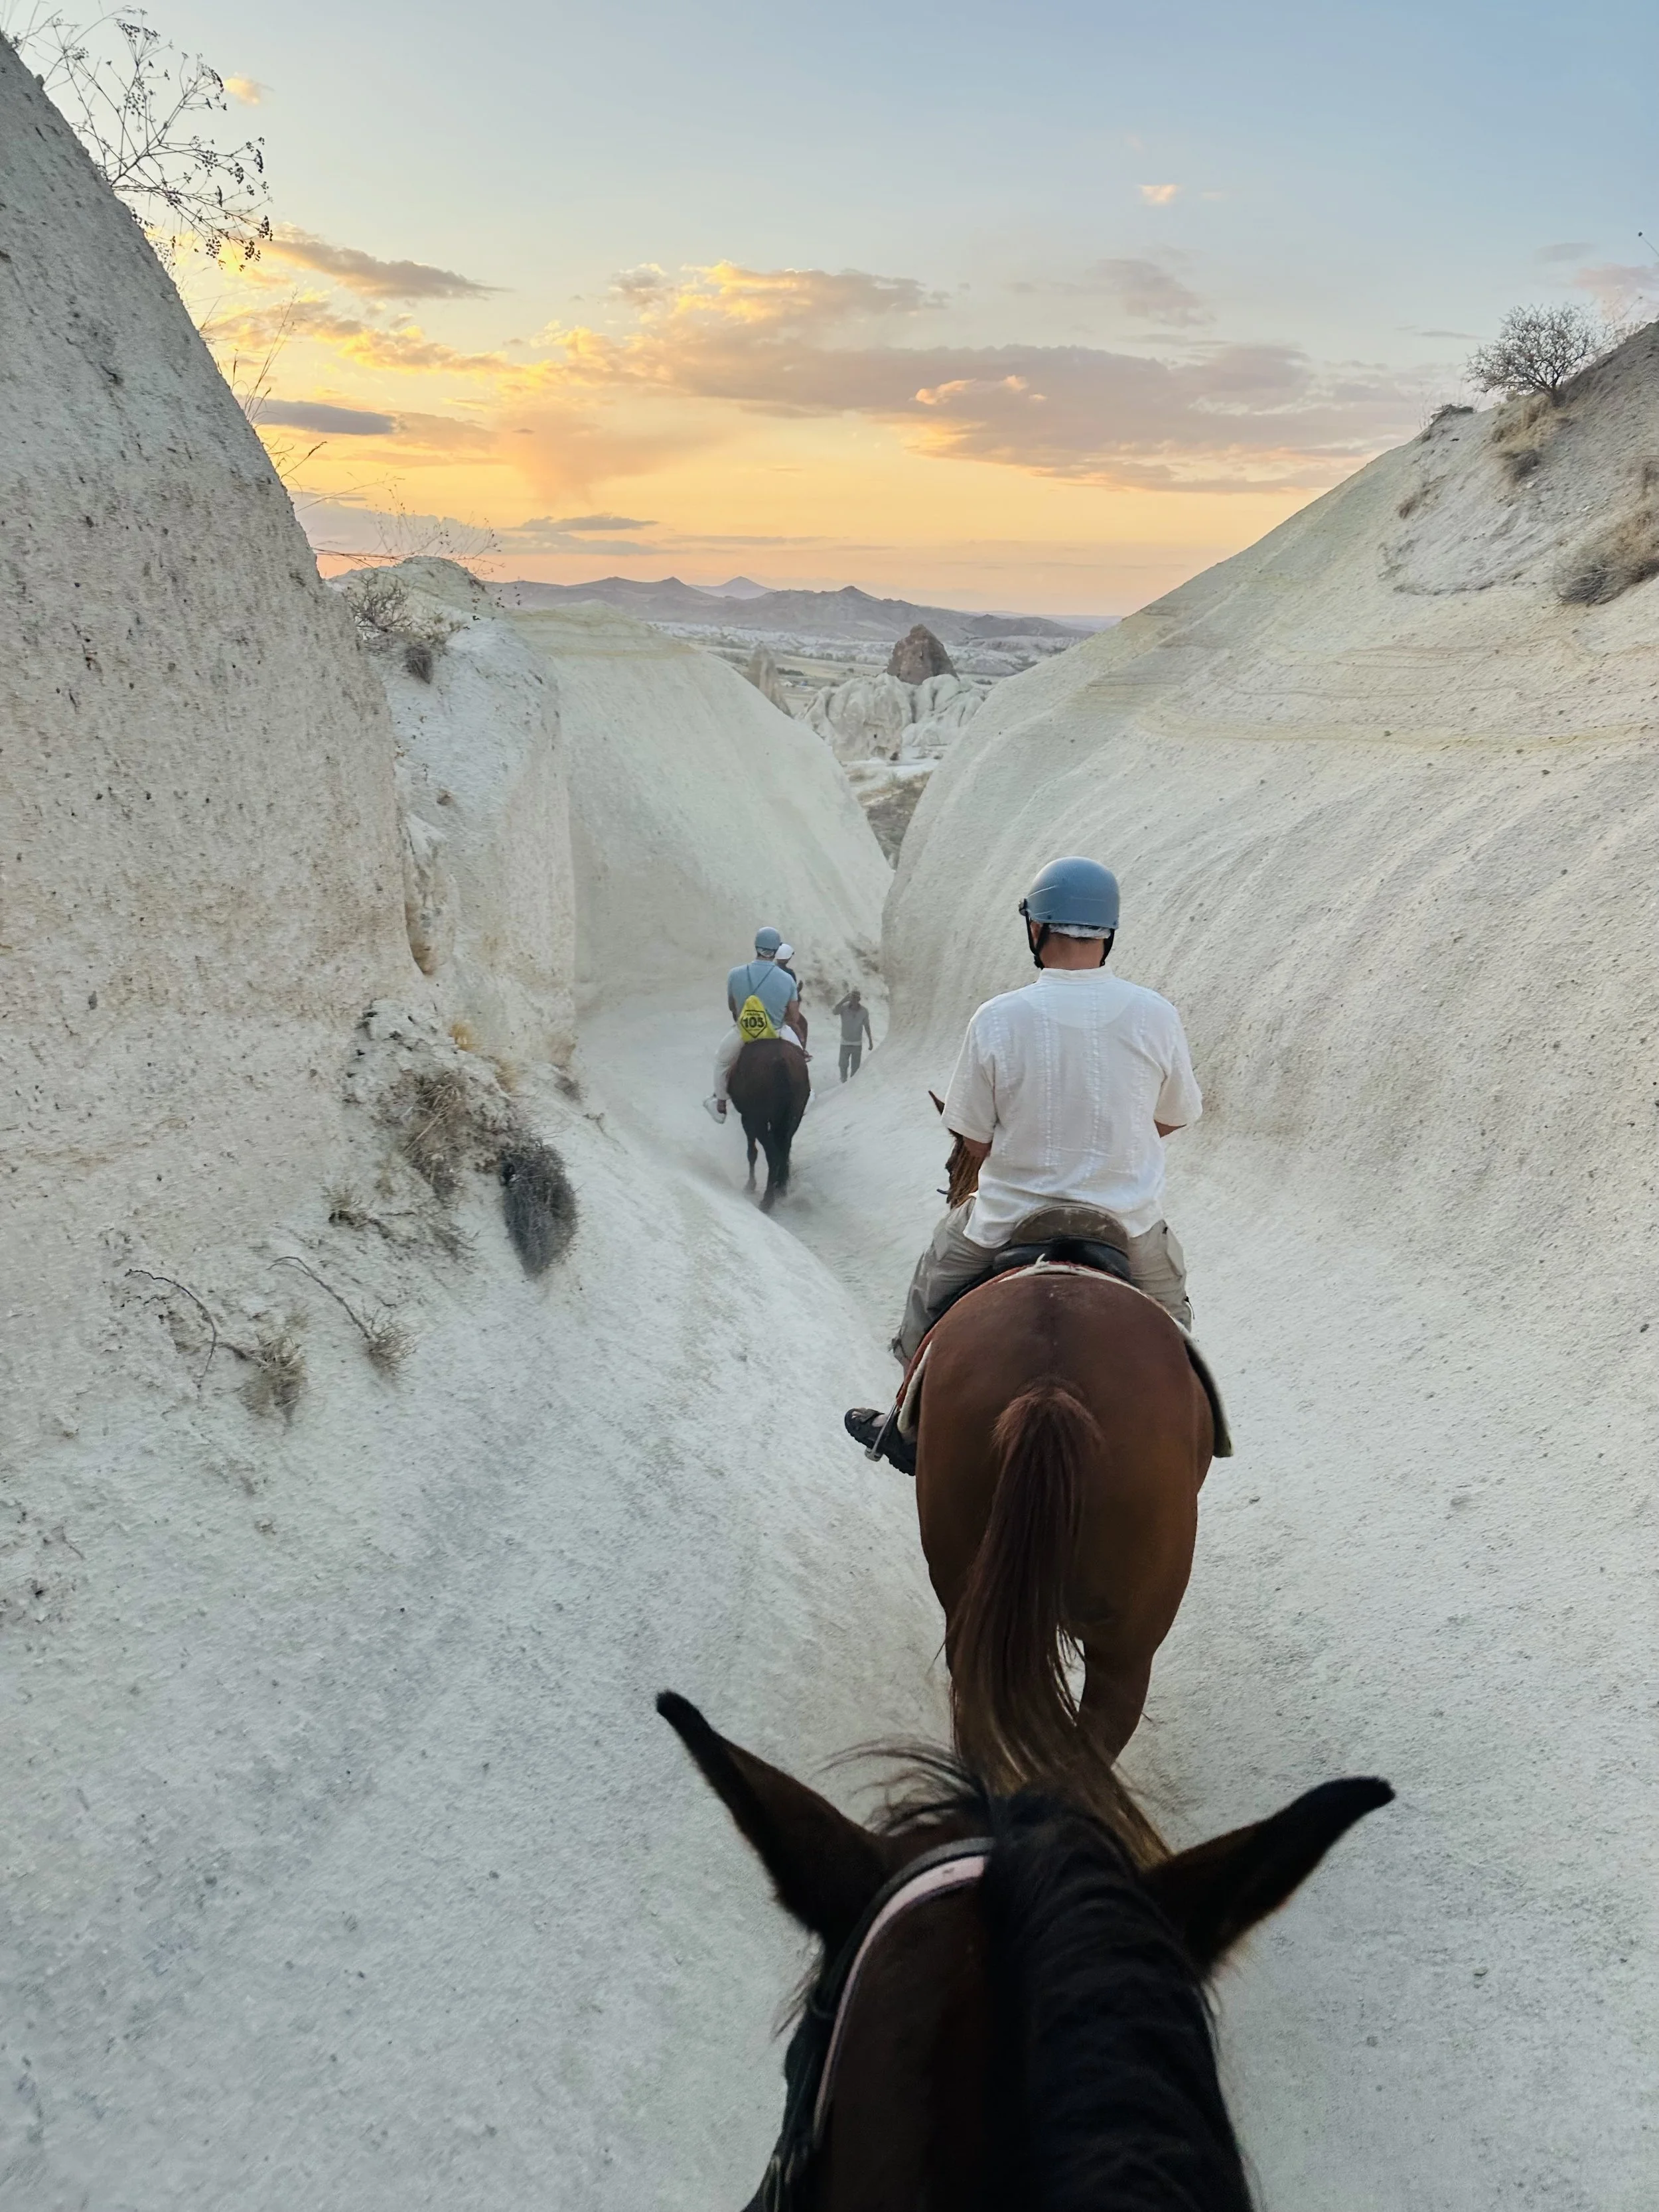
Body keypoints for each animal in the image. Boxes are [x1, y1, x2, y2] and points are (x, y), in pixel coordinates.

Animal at [727, 1038, 810, 1213]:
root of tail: (781, 1064)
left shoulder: (748, 1118)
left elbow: (752, 1152)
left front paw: (750, 1185)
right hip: (793, 1117)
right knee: (784, 1149)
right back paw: (780, 1190)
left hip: (759, 1120)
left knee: (773, 1155)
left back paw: (767, 1200)